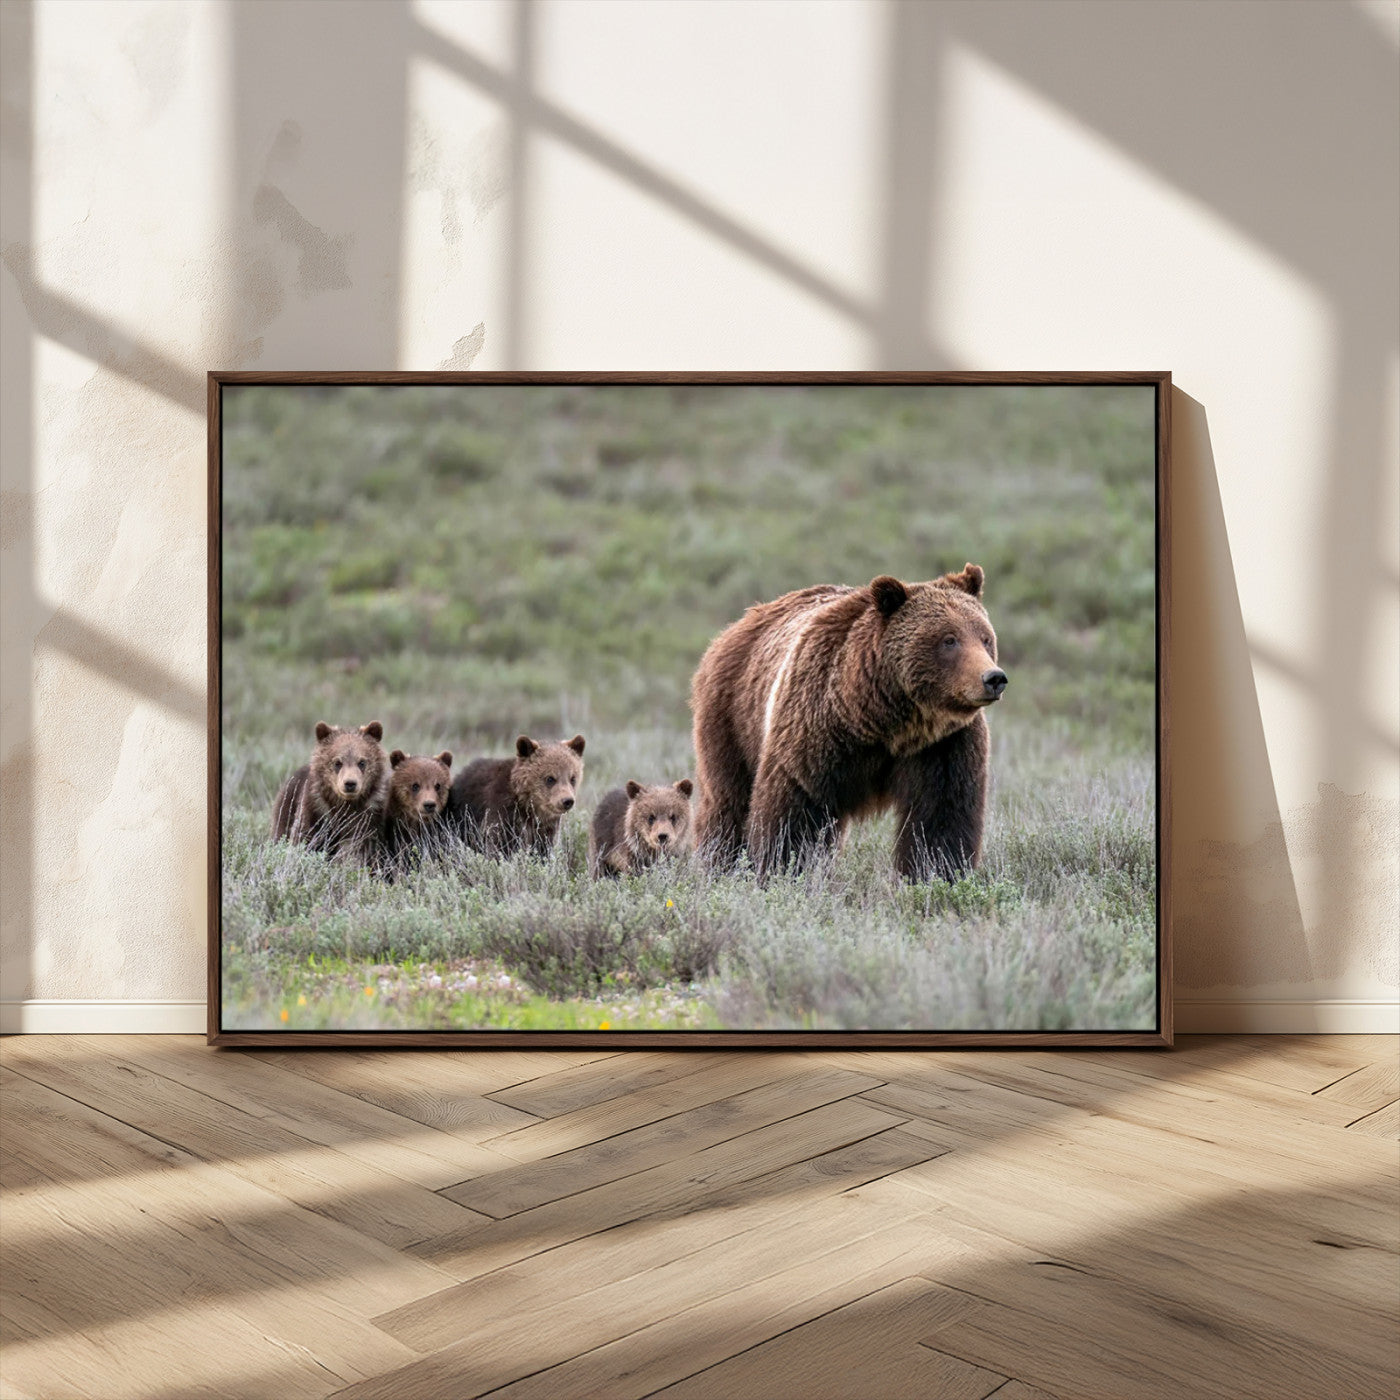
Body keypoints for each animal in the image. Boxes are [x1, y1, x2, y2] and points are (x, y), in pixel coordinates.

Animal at [271, 721, 391, 863]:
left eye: (362, 762)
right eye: (337, 762)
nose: (350, 783)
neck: (345, 803)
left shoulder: (369, 815)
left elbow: (363, 846)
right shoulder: (316, 809)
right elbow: (304, 837)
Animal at [449, 734, 586, 857]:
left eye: (573, 778)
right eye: (550, 778)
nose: (567, 801)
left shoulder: (544, 827)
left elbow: (542, 848)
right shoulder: (503, 813)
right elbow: (501, 845)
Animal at [689, 564, 1006, 881]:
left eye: (985, 637)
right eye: (949, 640)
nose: (993, 678)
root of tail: (738, 624)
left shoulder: (942, 744)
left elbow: (941, 817)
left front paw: (935, 874)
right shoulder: (816, 730)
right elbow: (794, 811)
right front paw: (782, 870)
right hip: (733, 716)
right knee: (727, 802)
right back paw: (719, 862)